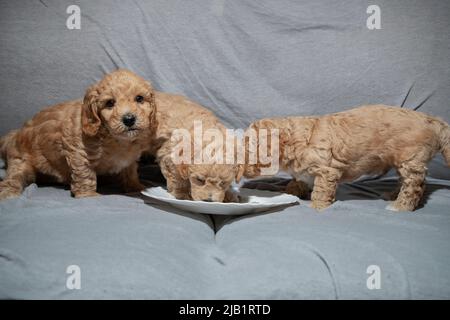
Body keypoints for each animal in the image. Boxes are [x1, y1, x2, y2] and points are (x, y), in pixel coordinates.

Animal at [0, 69, 156, 200]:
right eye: (110, 103)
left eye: (139, 98)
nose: (129, 119)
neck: (115, 138)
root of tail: (14, 134)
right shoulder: (80, 153)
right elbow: (85, 174)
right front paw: (88, 195)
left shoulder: (129, 159)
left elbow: (130, 171)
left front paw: (135, 187)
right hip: (20, 161)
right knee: (13, 178)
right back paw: (8, 192)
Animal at [237, 104, 448, 211]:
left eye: (249, 147)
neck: (297, 140)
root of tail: (433, 120)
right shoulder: (304, 171)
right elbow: (298, 181)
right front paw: (292, 191)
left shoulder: (327, 170)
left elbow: (321, 190)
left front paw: (317, 206)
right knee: (406, 181)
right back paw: (392, 195)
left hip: (411, 159)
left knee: (414, 185)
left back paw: (400, 206)